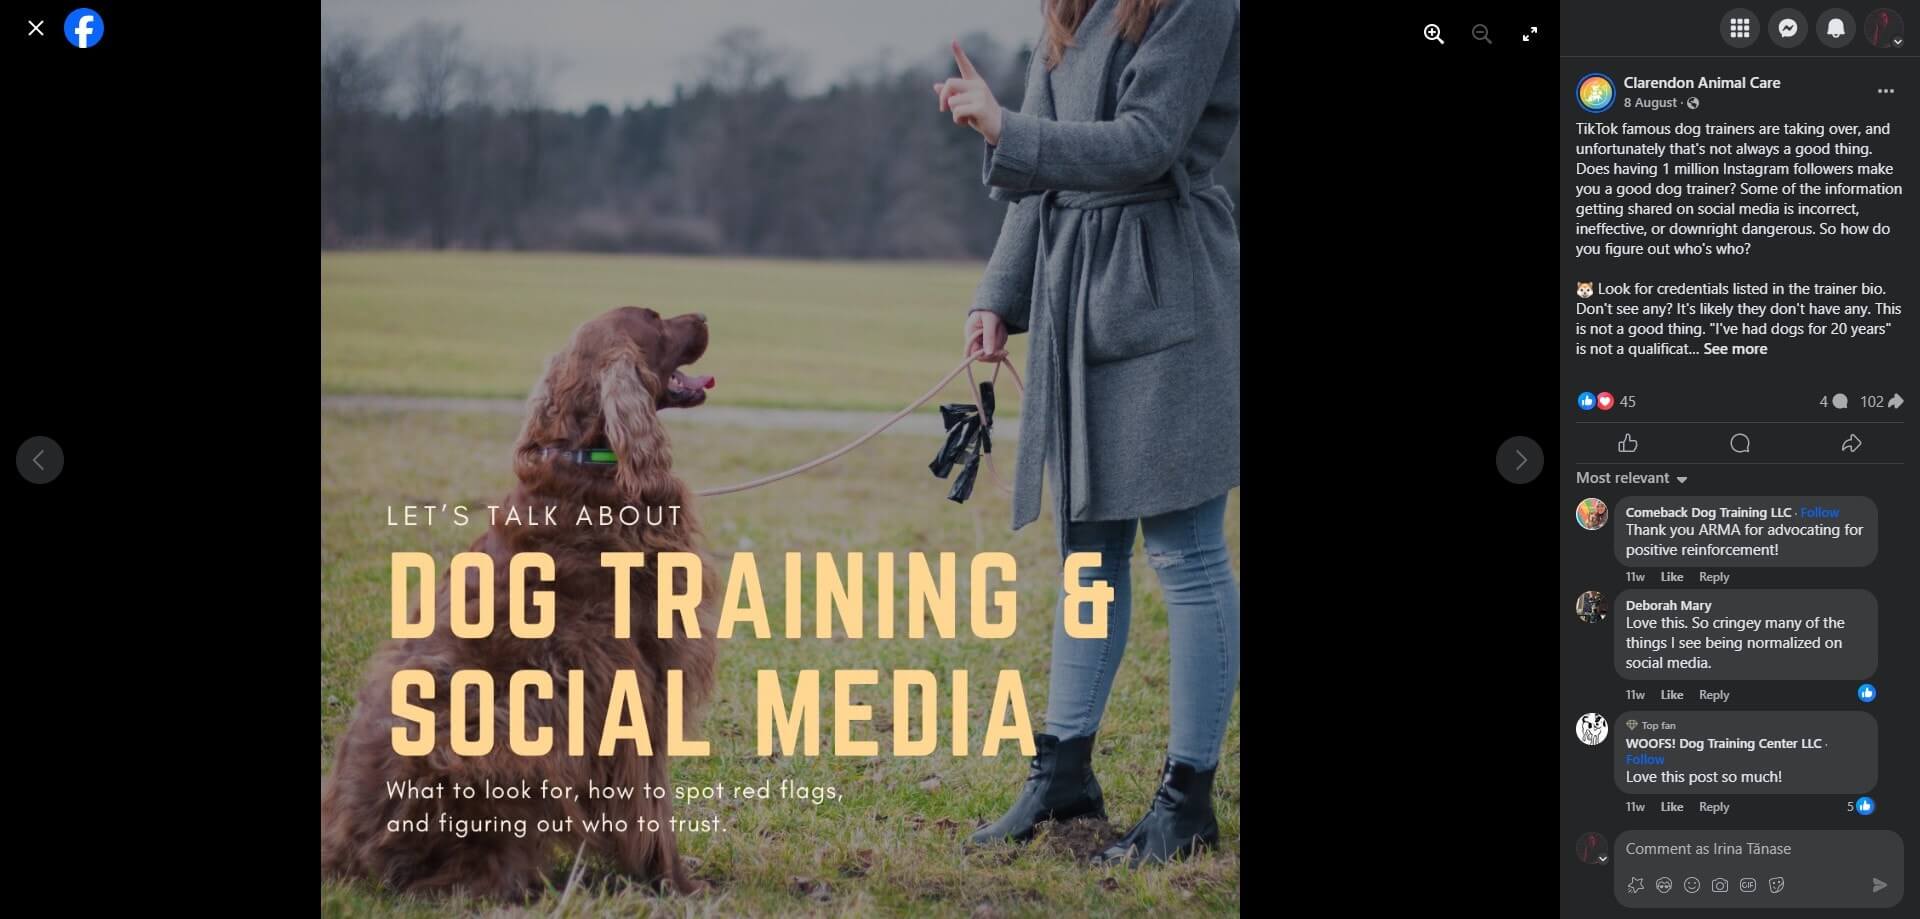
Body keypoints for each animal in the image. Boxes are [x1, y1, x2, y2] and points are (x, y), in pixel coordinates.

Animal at [322, 306, 721, 897]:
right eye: (654, 318)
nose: (703, 316)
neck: (587, 464)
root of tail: (343, 858)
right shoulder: (639, 674)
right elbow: (654, 803)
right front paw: (678, 885)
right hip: (488, 730)